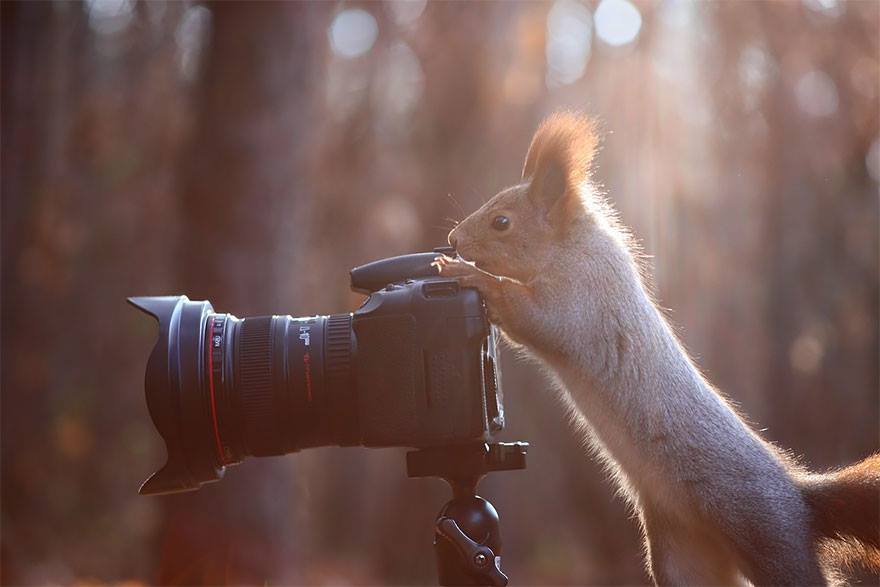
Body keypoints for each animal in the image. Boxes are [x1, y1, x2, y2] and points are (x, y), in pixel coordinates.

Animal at [433, 112, 880, 585]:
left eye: (502, 222)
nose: (454, 239)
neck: (571, 248)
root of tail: (799, 500)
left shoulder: (580, 301)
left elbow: (529, 314)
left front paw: (466, 273)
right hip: (683, 556)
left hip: (769, 538)